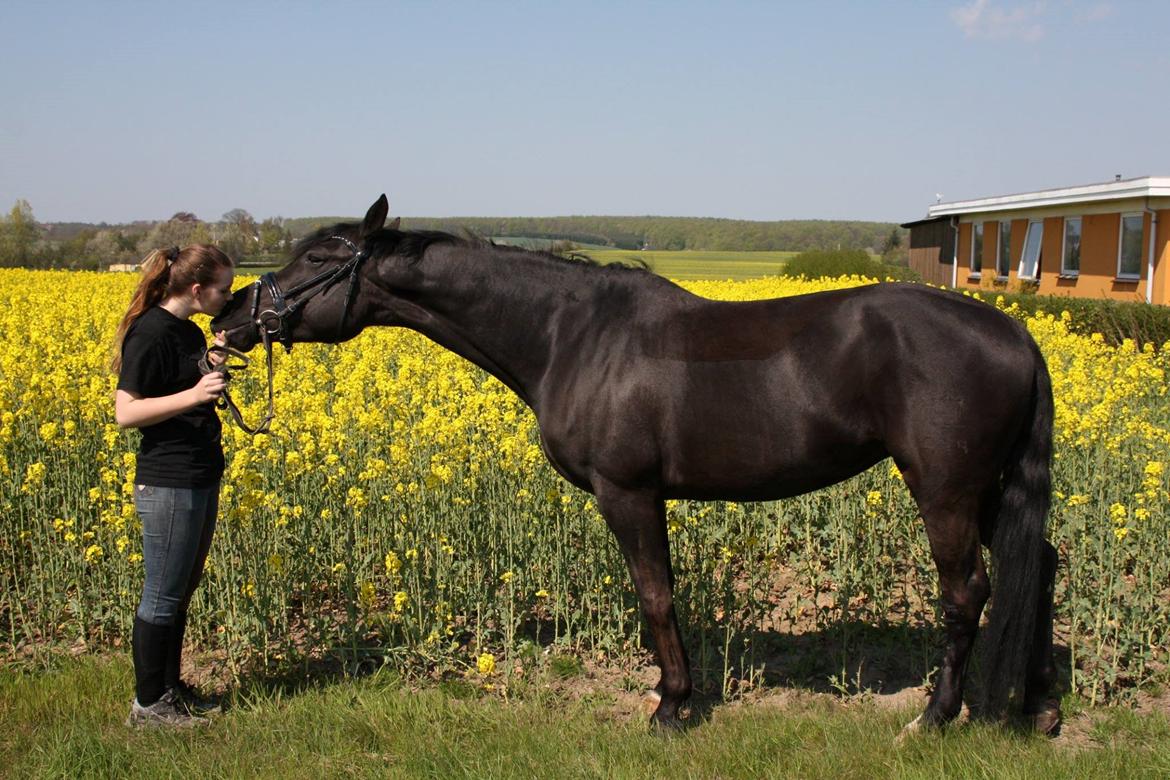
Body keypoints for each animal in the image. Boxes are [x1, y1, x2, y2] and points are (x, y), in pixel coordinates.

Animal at [208, 198, 1062, 734]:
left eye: (321, 256)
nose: (229, 318)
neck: (571, 334)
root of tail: (1015, 334)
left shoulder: (628, 492)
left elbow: (655, 595)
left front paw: (671, 707)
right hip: (990, 490)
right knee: (1041, 566)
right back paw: (1039, 705)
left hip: (945, 489)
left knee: (967, 591)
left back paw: (934, 716)